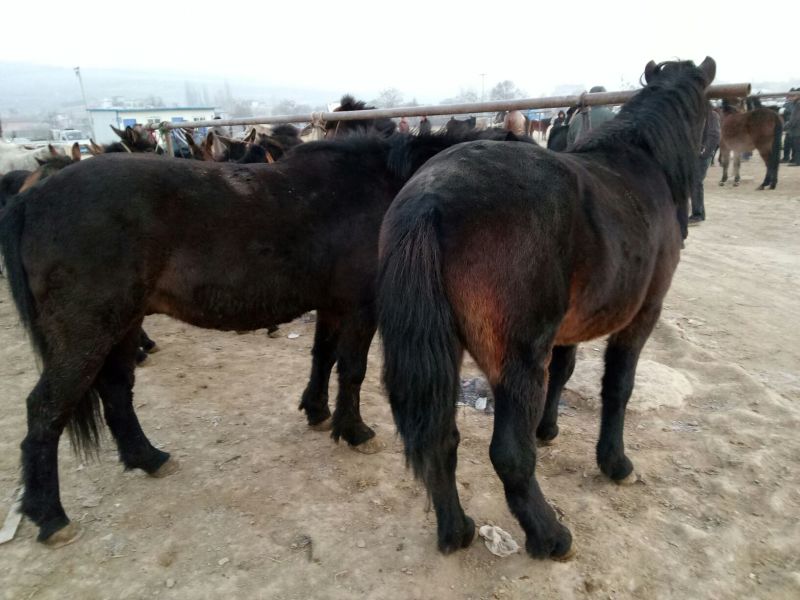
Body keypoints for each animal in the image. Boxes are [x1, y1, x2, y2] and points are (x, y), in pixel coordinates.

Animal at [0, 127, 531, 546]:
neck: (384, 190)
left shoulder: (331, 305)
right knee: (45, 410)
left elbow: (322, 358)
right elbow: (352, 369)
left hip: (121, 325)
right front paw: (354, 430)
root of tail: (31, 198)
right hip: (86, 332)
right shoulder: (360, 308)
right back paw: (50, 516)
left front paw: (318, 412)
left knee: (115, 392)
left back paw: (146, 458)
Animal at [377, 57, 716, 560]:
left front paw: (548, 427)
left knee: (441, 437)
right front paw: (615, 462)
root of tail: (430, 198)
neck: (643, 163)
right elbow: (618, 387)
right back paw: (550, 536)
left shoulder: (569, 327)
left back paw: (456, 530)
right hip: (516, 361)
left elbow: (564, 370)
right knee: (509, 456)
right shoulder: (642, 316)